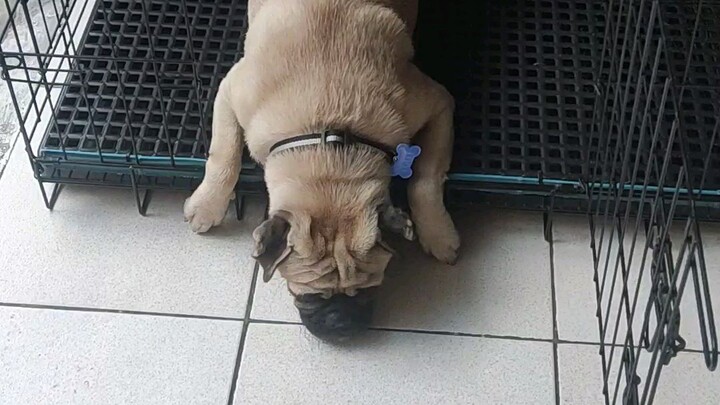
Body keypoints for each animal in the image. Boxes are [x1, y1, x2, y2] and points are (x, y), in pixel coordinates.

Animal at [183, 0, 458, 340]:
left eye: (368, 290)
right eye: (308, 295)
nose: (341, 323)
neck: (329, 135)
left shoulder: (437, 105)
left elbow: (426, 180)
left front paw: (437, 233)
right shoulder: (231, 91)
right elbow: (224, 154)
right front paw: (207, 206)